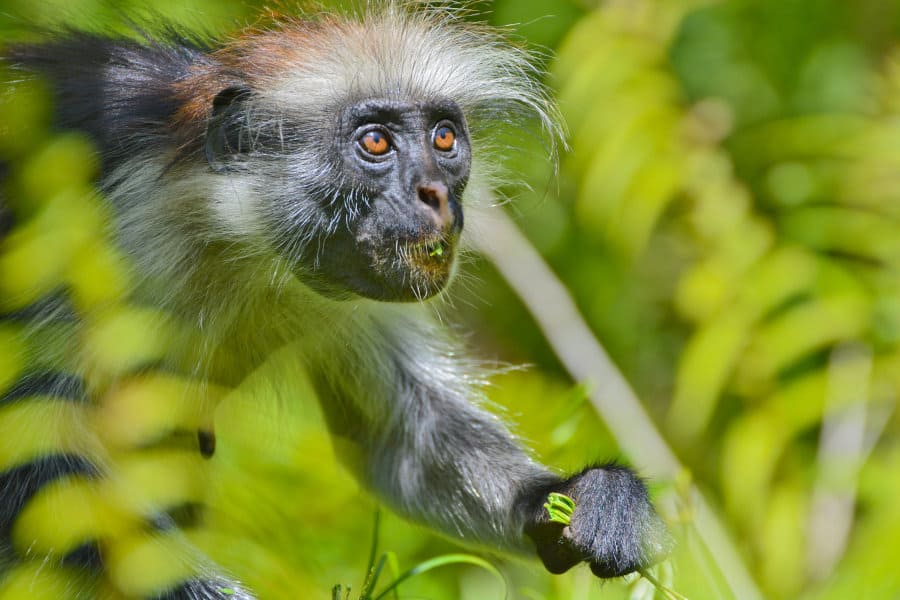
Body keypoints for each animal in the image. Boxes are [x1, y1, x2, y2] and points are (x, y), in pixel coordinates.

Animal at [0, 3, 669, 598]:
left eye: (444, 138)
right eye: (374, 143)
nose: (436, 194)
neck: (226, 233)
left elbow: (399, 437)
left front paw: (591, 500)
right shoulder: (91, 230)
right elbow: (36, 461)